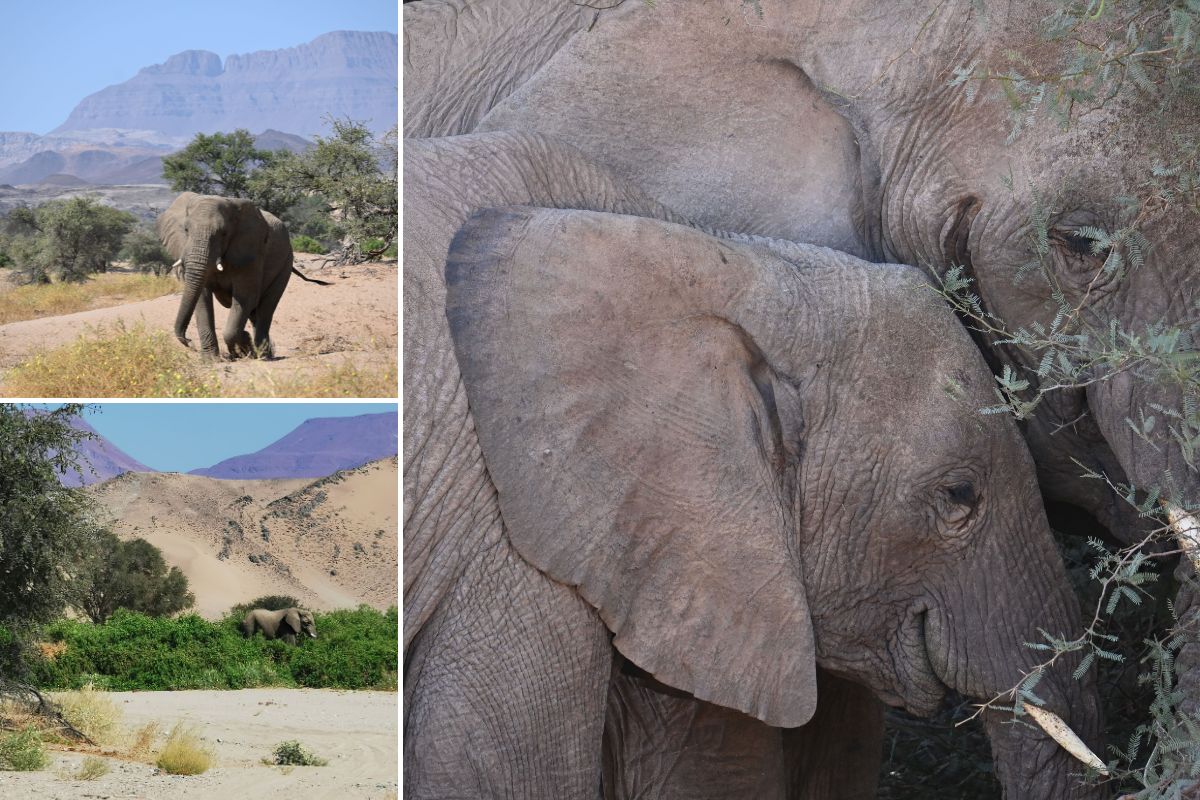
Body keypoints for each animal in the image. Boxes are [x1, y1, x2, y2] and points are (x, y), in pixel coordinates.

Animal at [157, 191, 331, 359]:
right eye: (186, 230)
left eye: (224, 233)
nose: (189, 342)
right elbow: (202, 298)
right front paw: (211, 359)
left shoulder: (251, 252)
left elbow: (244, 298)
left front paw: (243, 348)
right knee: (255, 313)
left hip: (285, 263)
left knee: (266, 308)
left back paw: (262, 356)